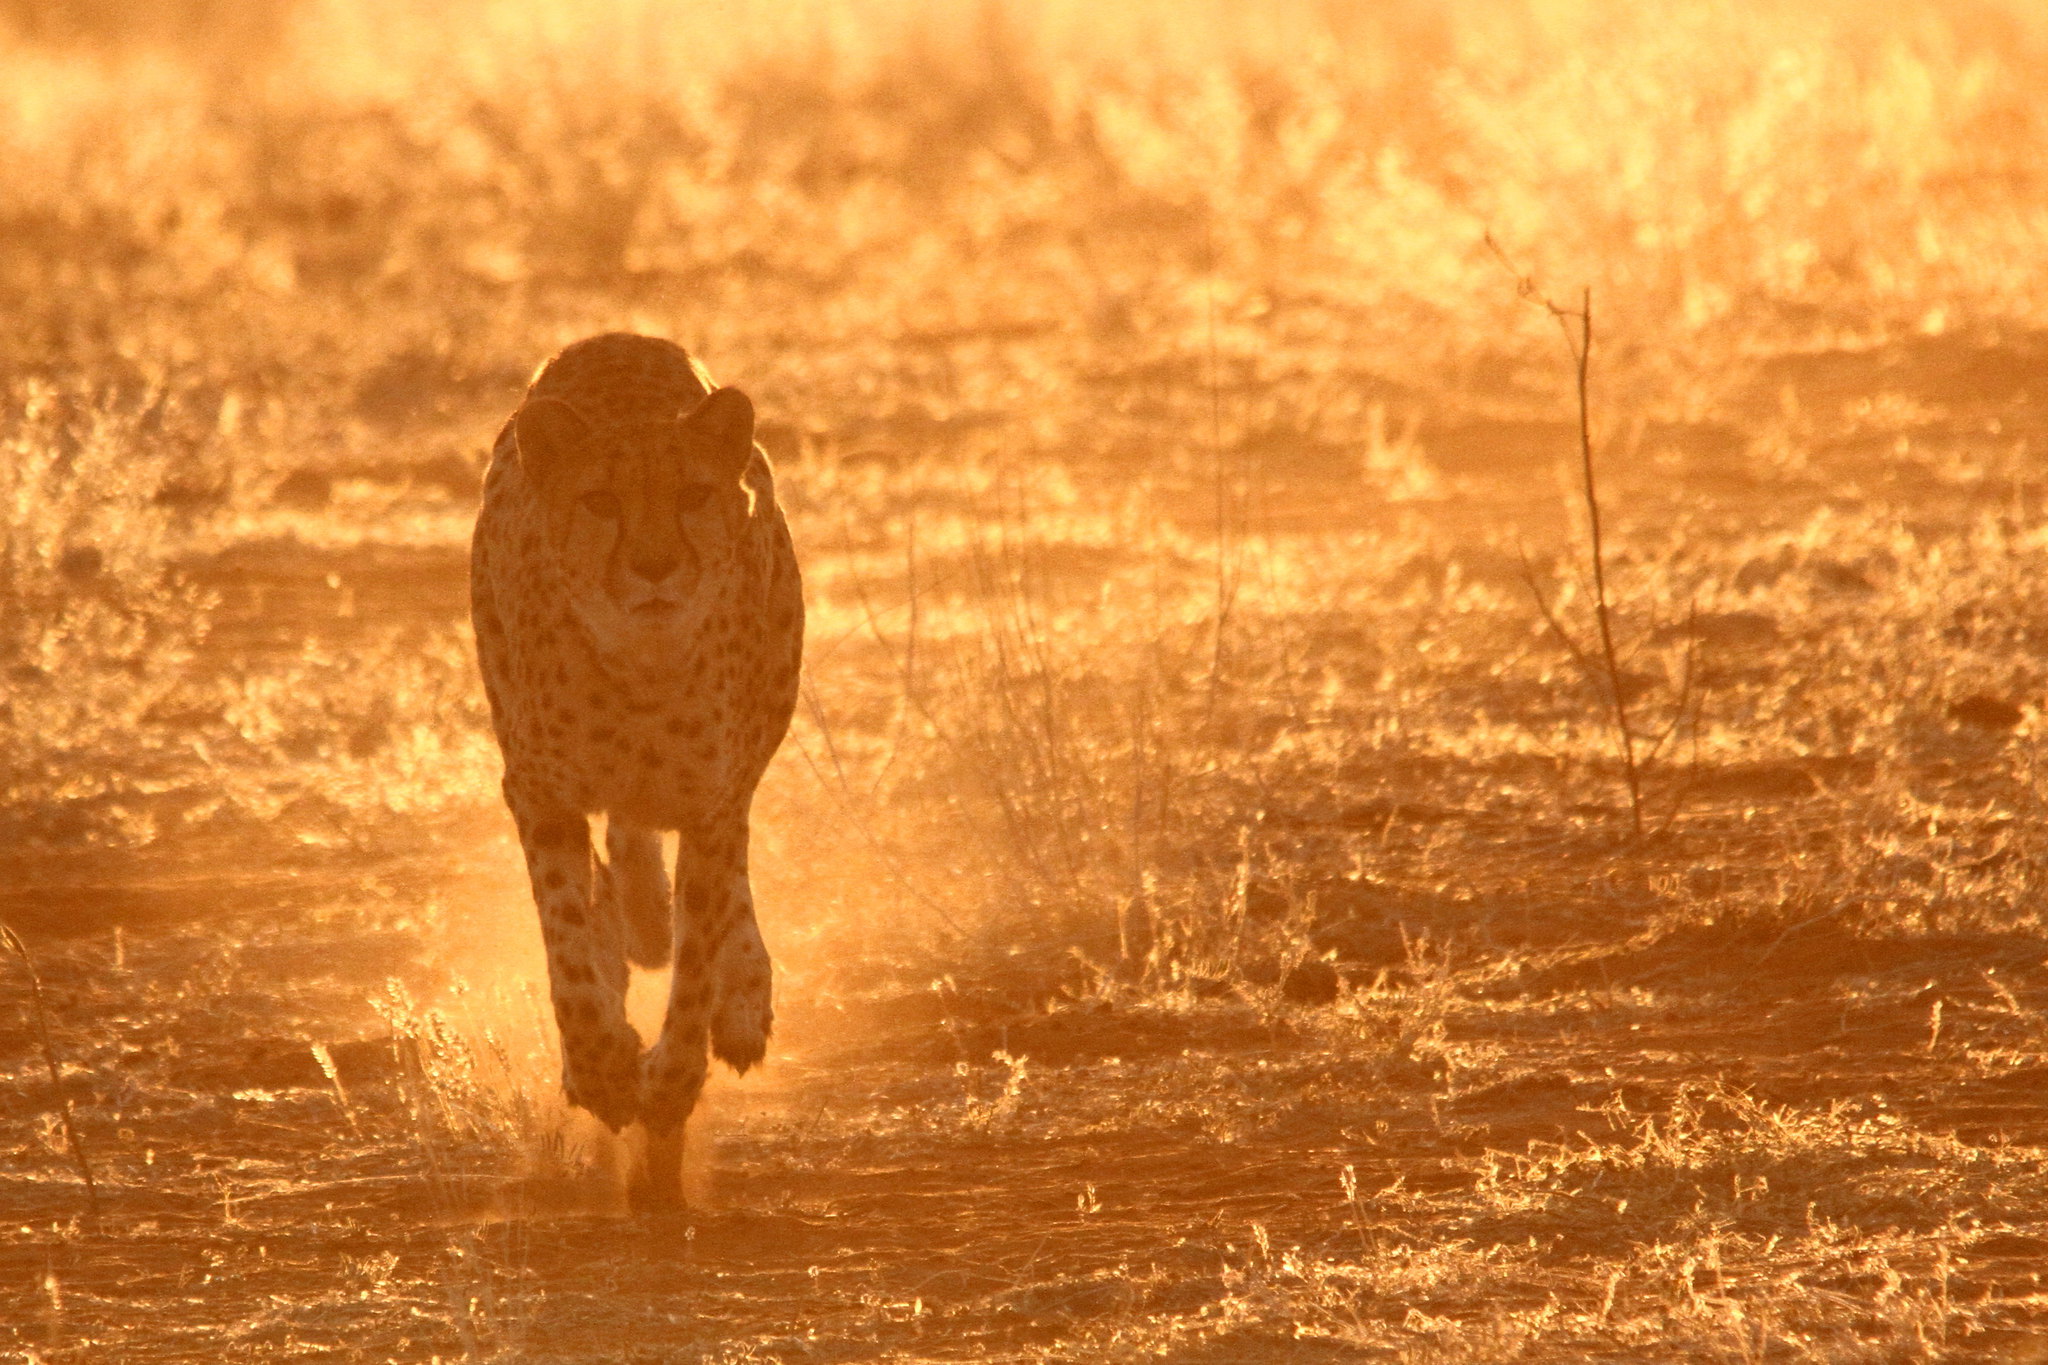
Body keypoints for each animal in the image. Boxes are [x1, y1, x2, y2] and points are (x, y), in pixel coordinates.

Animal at [475, 331, 802, 1203]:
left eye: (692, 494)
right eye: (600, 502)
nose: (655, 566)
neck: (641, 667)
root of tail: (621, 336)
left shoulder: (712, 800)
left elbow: (695, 963)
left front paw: (671, 1084)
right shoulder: (540, 793)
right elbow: (566, 940)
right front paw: (602, 1069)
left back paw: (736, 994)